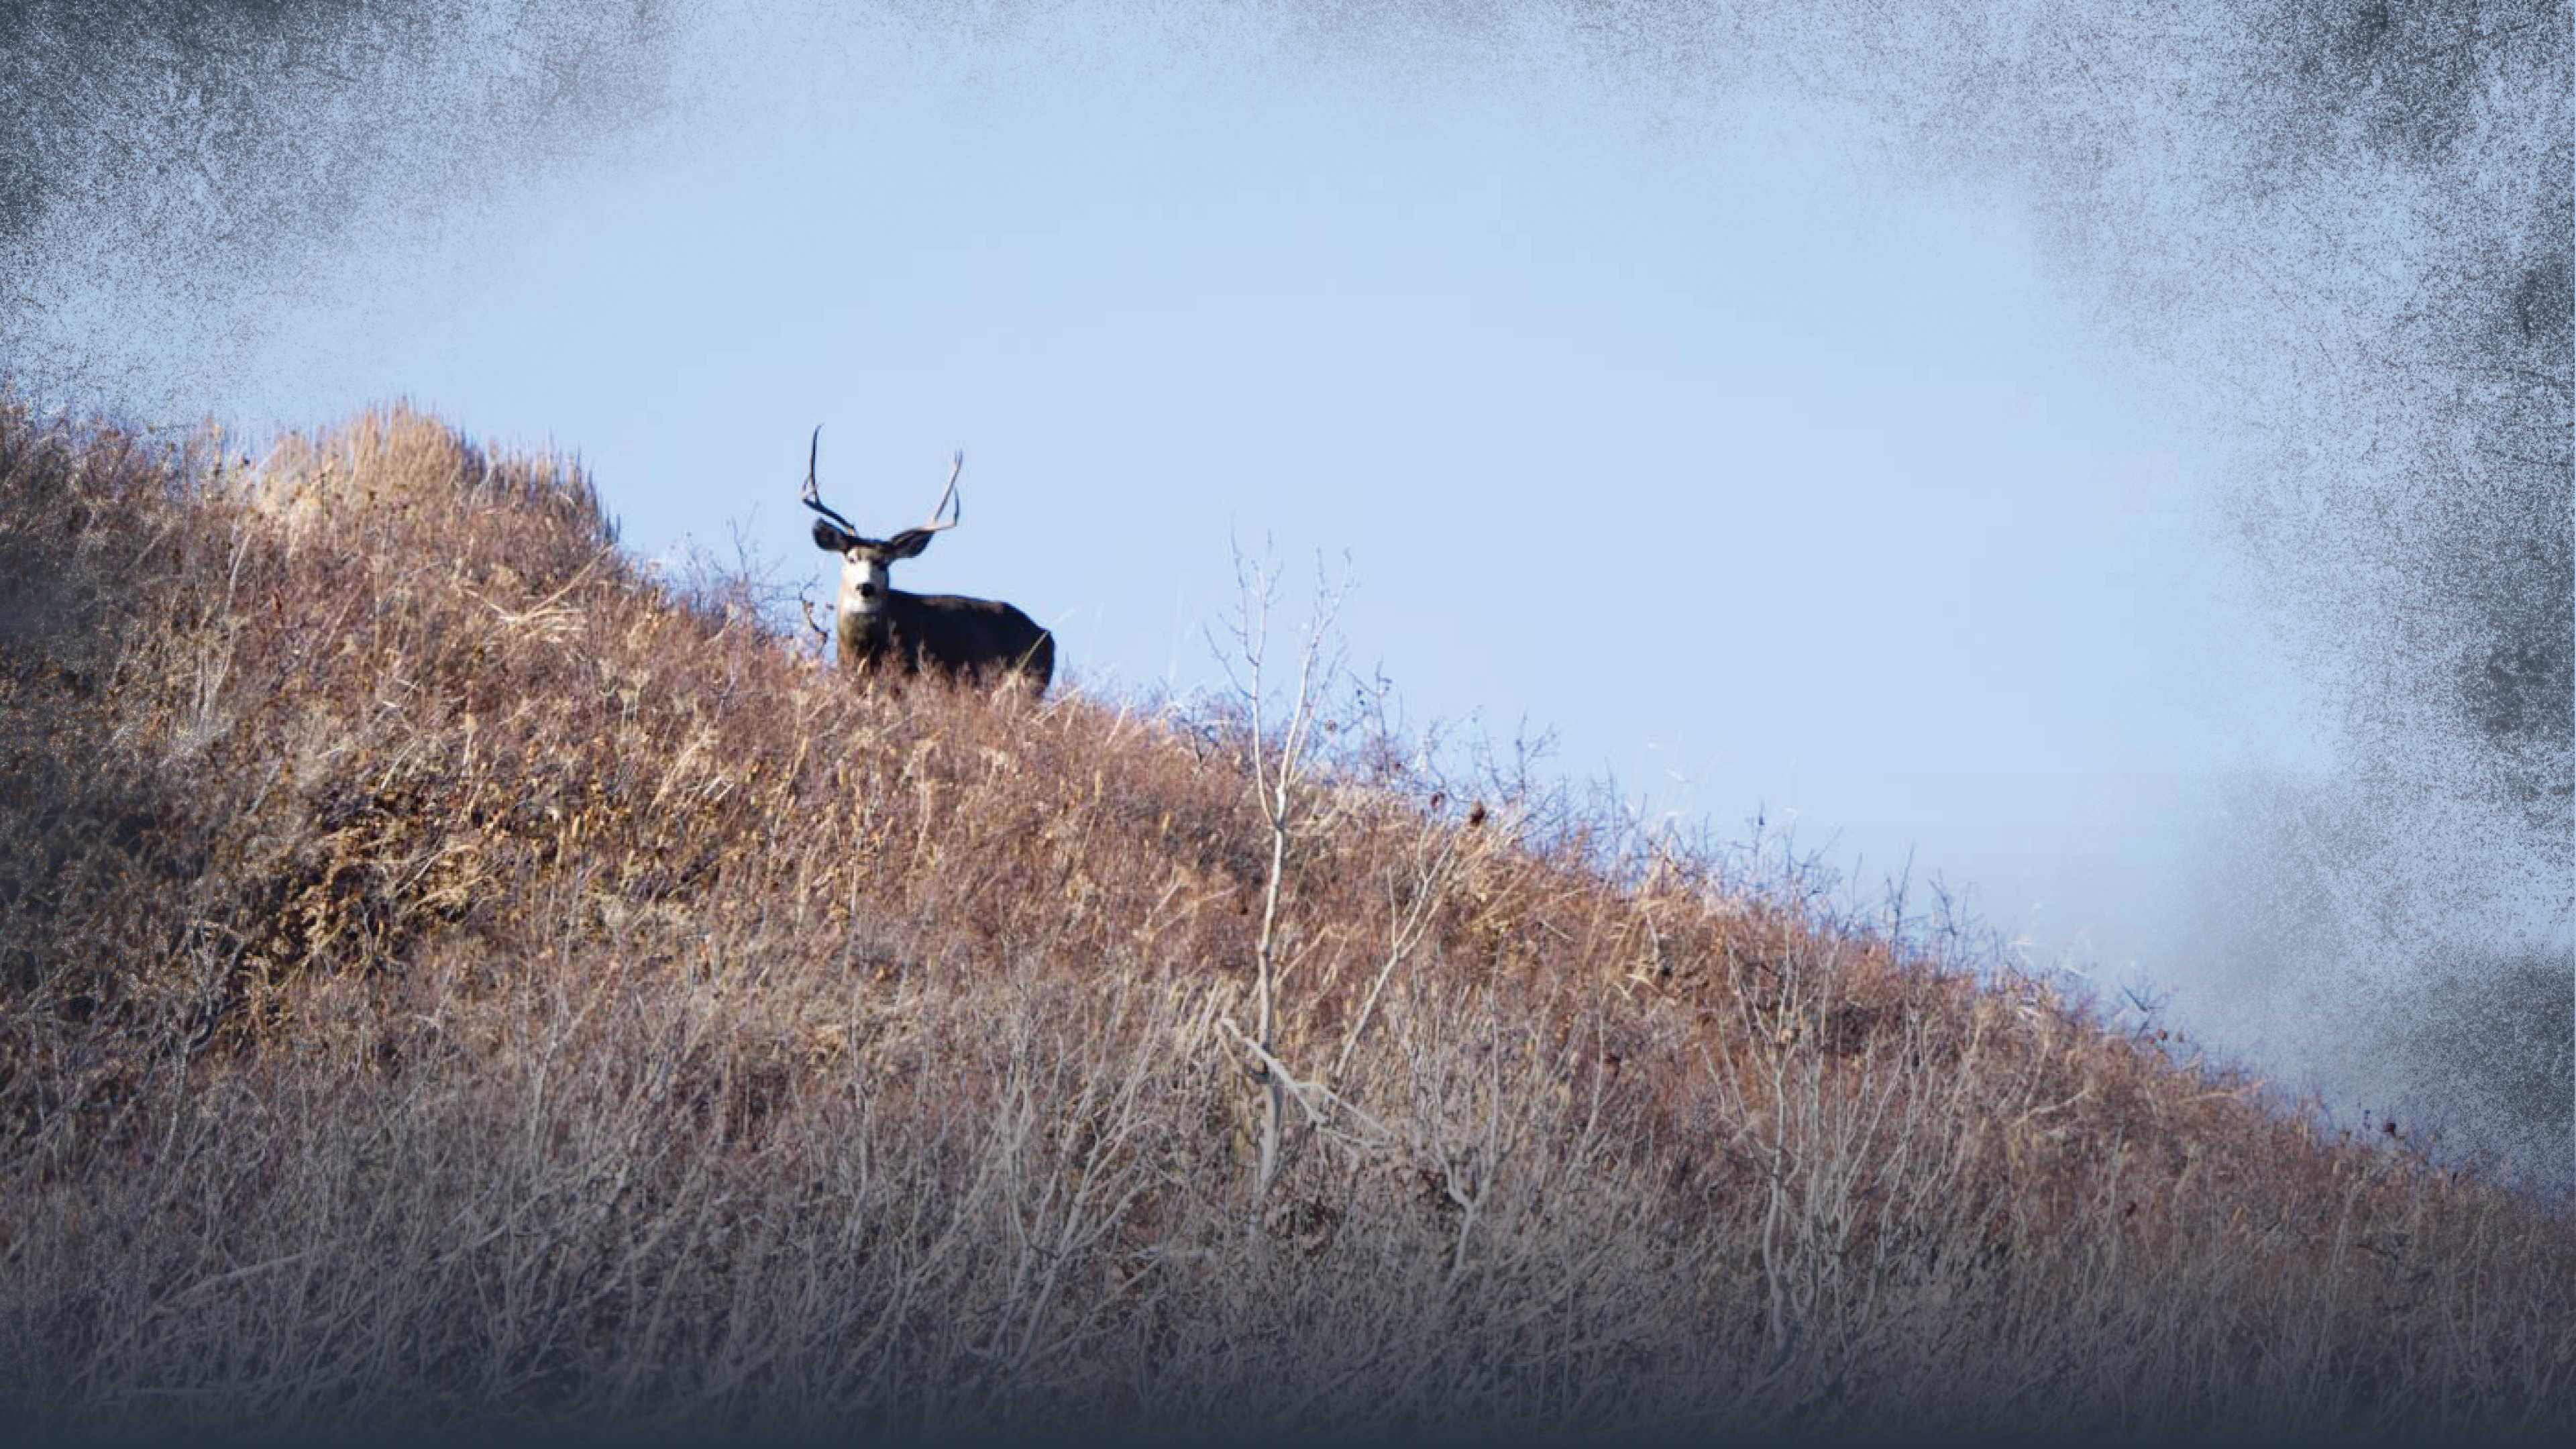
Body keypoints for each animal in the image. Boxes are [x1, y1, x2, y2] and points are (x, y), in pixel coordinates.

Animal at [800, 427, 1055, 694]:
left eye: (885, 563)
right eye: (851, 558)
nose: (866, 587)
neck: (862, 651)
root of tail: (1049, 638)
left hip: (1027, 682)